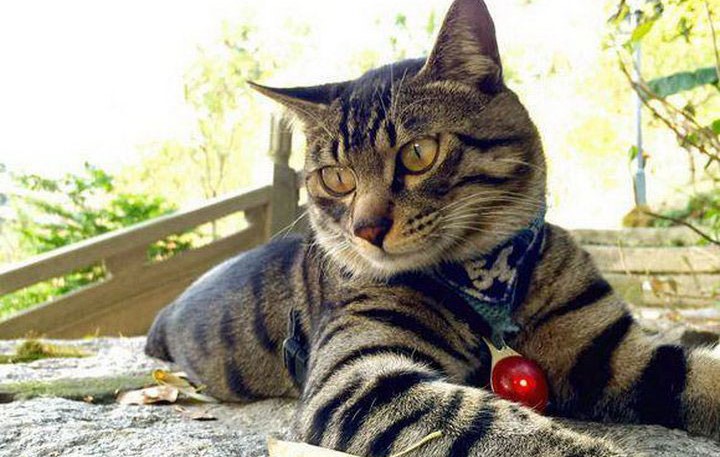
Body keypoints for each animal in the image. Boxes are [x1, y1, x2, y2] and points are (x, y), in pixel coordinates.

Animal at [145, 0, 720, 455]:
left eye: (418, 153)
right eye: (336, 178)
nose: (366, 229)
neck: (494, 280)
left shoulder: (610, 351)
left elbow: (696, 372)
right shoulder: (358, 381)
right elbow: (501, 430)